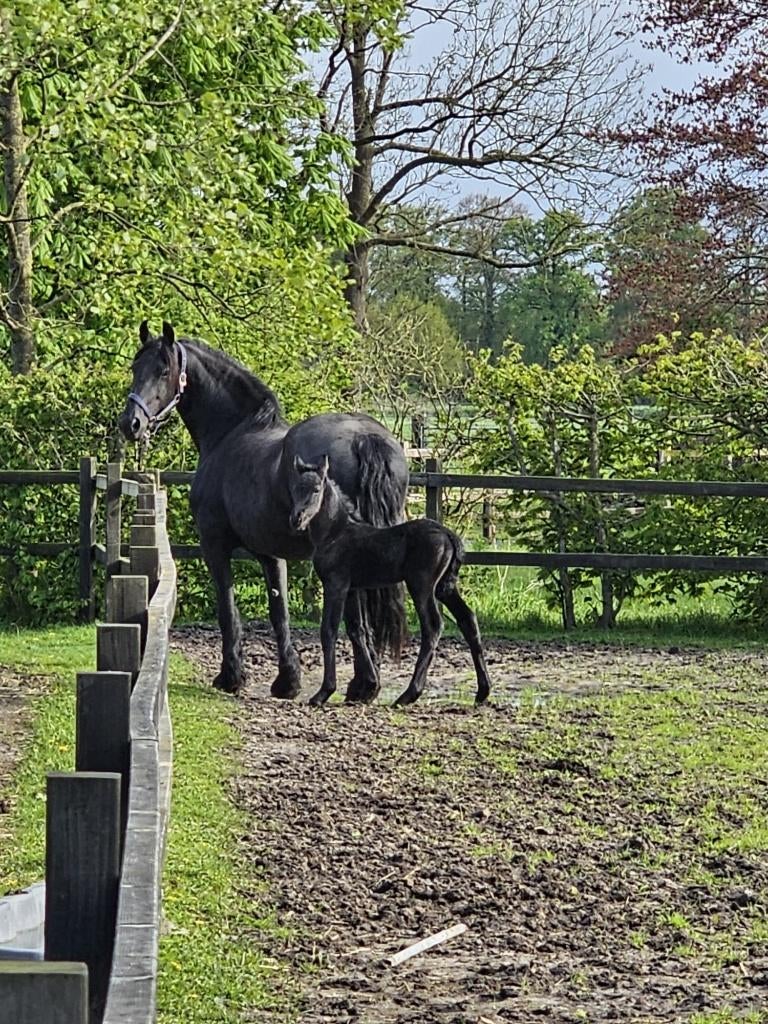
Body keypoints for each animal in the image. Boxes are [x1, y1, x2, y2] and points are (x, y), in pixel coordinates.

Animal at [118, 320, 408, 702]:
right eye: (135, 367)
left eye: (163, 370)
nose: (131, 423)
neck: (230, 434)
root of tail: (363, 438)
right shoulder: (270, 553)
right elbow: (278, 611)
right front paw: (288, 680)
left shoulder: (214, 546)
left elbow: (227, 608)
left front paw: (231, 677)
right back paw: (365, 683)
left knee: (355, 615)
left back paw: (365, 684)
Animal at [288, 454, 492, 707]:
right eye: (295, 488)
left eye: (316, 489)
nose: (296, 519)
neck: (336, 533)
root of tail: (448, 535)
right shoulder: (352, 589)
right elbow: (357, 630)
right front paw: (369, 685)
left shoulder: (335, 585)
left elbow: (329, 630)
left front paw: (323, 693)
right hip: (445, 587)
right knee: (468, 619)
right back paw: (483, 691)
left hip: (422, 586)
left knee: (433, 626)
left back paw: (409, 694)